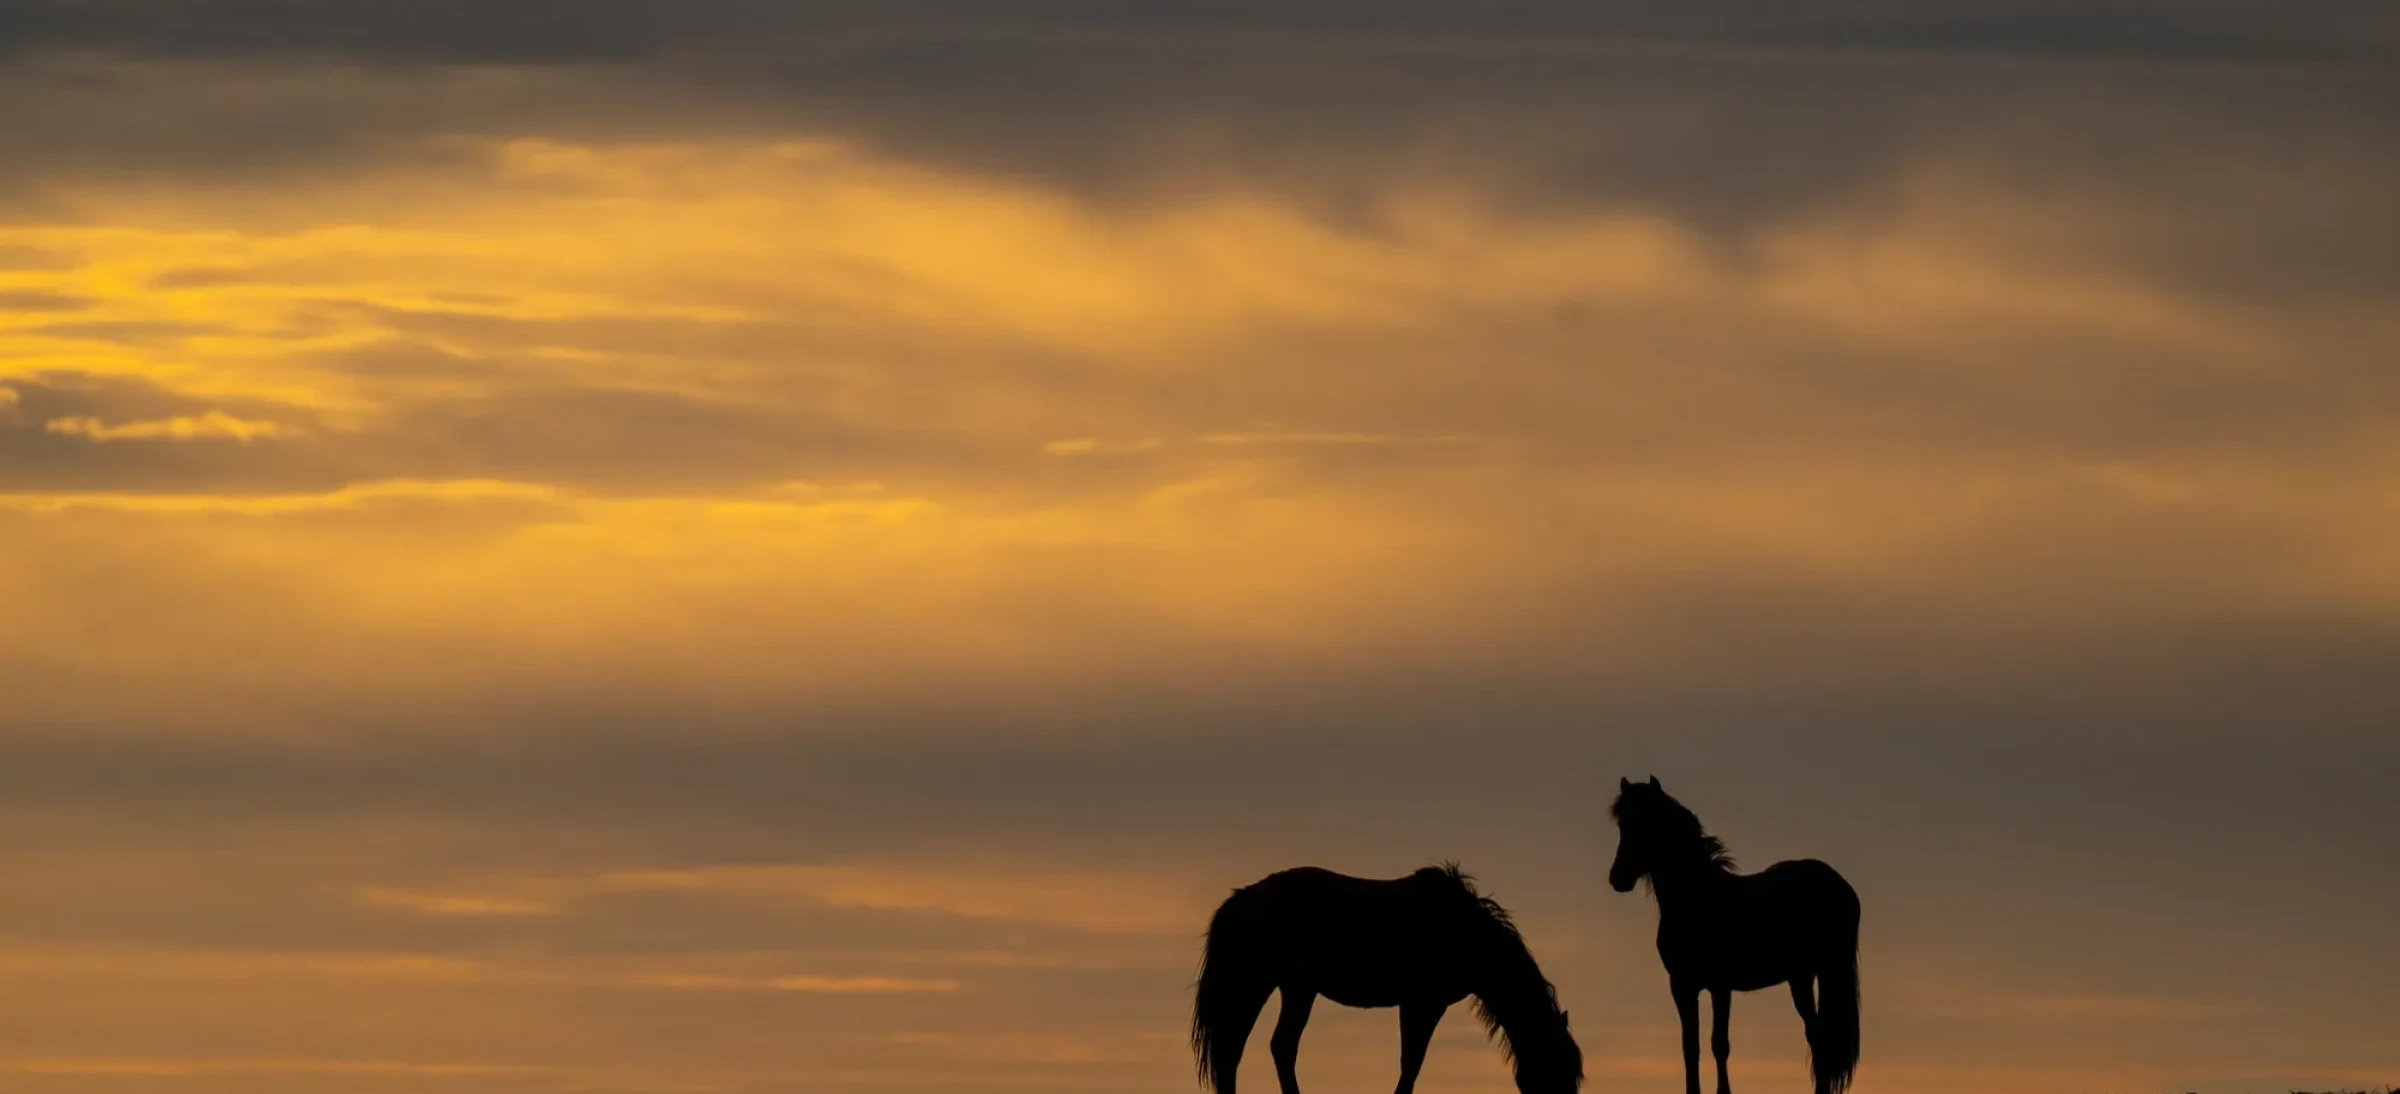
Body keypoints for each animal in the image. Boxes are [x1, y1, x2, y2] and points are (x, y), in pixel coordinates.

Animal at [1191, 863, 1584, 1094]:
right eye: (1557, 1071)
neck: (1461, 932)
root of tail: (1242, 899)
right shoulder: (1421, 1003)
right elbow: (1411, 1064)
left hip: (1295, 988)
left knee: (1271, 1047)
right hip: (1255, 982)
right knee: (1236, 1048)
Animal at [1608, 776, 1861, 1094]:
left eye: (1646, 822)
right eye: (1622, 824)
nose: (1618, 878)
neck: (1697, 897)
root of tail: (1840, 884)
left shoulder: (1720, 985)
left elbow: (1719, 1044)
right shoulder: (1682, 986)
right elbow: (1690, 1047)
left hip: (1820, 971)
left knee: (1819, 1038)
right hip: (1804, 976)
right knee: (1816, 1036)